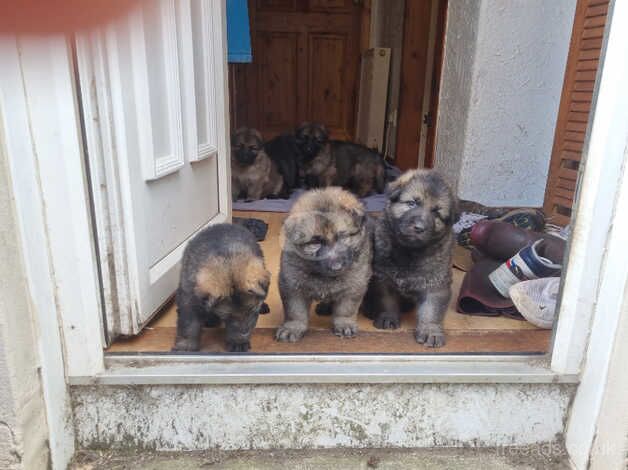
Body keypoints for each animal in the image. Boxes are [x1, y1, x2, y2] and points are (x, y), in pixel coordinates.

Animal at [173, 224, 272, 352]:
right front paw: (185, 348)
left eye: (252, 312)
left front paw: (238, 342)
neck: (226, 258)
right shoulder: (189, 300)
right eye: (228, 317)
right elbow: (188, 326)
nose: (244, 333)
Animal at [276, 186, 372, 342]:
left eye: (343, 237)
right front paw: (292, 327)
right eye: (315, 243)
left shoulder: (355, 283)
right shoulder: (291, 283)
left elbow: (346, 308)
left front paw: (344, 323)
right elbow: (295, 310)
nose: (336, 267)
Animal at [364, 171, 456, 346]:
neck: (409, 251)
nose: (419, 228)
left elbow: (431, 309)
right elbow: (387, 301)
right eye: (412, 203)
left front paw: (430, 330)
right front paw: (387, 318)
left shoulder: (436, 283)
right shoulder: (384, 278)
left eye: (436, 212)